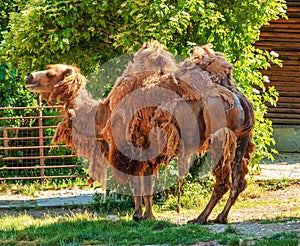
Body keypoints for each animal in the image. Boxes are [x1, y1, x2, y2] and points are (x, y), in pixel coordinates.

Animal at [25, 40, 254, 223]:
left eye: (50, 73)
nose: (29, 76)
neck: (102, 114)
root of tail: (238, 98)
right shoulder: (149, 149)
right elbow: (148, 184)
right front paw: (149, 215)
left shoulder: (129, 143)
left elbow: (136, 181)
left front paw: (137, 215)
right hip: (242, 138)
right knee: (239, 181)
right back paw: (221, 217)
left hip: (220, 136)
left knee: (223, 181)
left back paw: (200, 218)